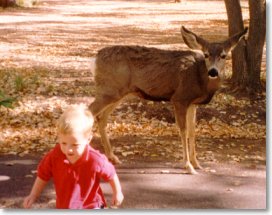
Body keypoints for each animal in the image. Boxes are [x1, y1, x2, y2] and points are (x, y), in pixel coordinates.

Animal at [90, 26, 249, 175]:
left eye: (223, 55)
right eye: (206, 54)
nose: (213, 71)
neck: (199, 79)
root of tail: (96, 58)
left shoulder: (193, 103)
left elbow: (193, 131)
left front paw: (197, 163)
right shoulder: (179, 98)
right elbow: (183, 130)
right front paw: (188, 166)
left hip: (119, 93)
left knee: (101, 117)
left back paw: (112, 157)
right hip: (109, 90)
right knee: (90, 111)